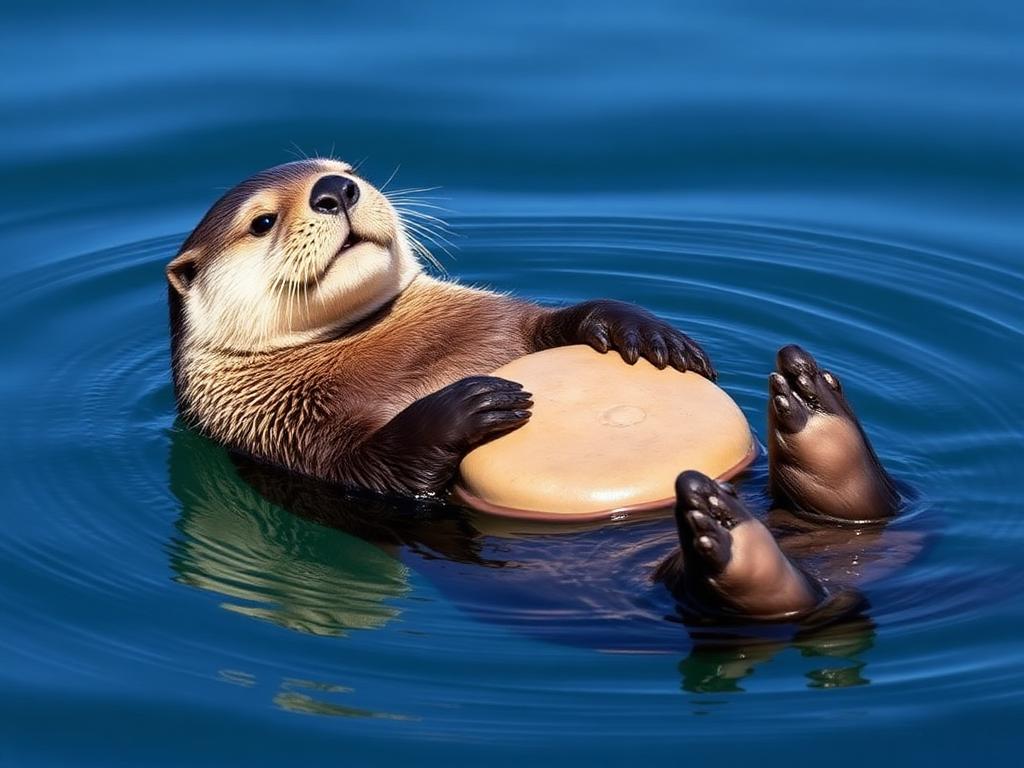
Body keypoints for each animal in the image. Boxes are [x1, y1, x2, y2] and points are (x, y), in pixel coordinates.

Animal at [167, 159, 903, 623]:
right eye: (262, 222)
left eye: (346, 166)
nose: (335, 189)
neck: (382, 346)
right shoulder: (282, 434)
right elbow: (374, 469)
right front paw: (469, 405)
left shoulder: (502, 321)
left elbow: (554, 322)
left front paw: (641, 332)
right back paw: (725, 536)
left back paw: (809, 407)